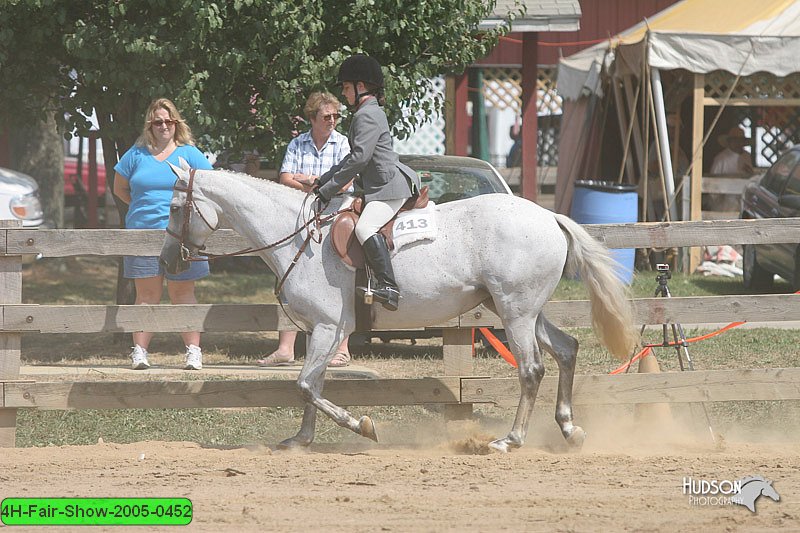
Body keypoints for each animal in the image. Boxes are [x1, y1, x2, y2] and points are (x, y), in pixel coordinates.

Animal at [161, 160, 636, 450]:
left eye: (175, 207)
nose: (167, 262)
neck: (300, 237)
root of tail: (548, 216)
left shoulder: (330, 328)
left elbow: (306, 385)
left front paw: (362, 426)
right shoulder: (319, 330)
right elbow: (312, 386)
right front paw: (301, 440)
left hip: (516, 313)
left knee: (532, 369)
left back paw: (510, 440)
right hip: (522, 310)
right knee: (567, 350)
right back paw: (570, 429)